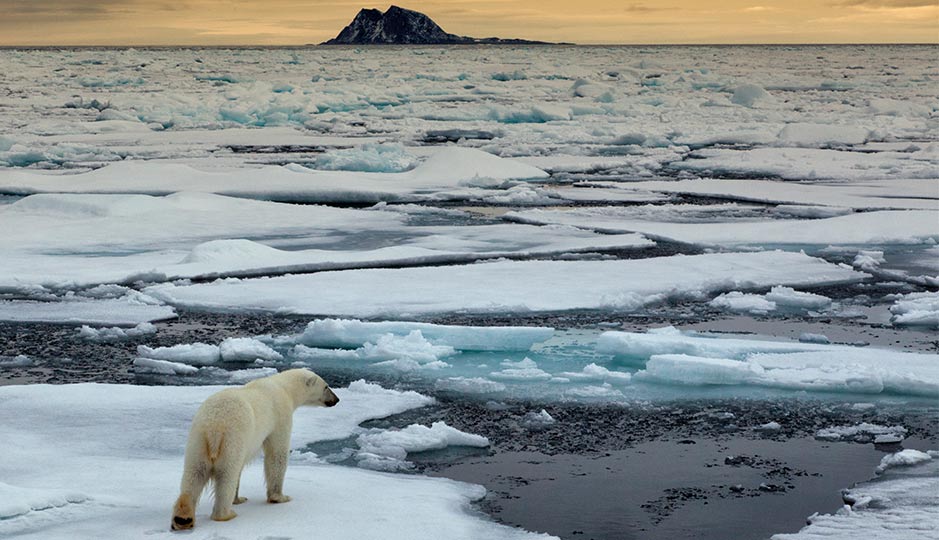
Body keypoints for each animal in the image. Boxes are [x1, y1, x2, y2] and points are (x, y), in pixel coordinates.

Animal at [171, 368, 340, 532]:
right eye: (326, 386)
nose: (337, 399)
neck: (284, 387)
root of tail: (214, 428)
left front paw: (238, 499)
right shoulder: (280, 416)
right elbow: (277, 455)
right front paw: (280, 497)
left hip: (197, 441)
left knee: (194, 475)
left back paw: (183, 518)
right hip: (232, 440)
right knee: (227, 476)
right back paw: (226, 514)